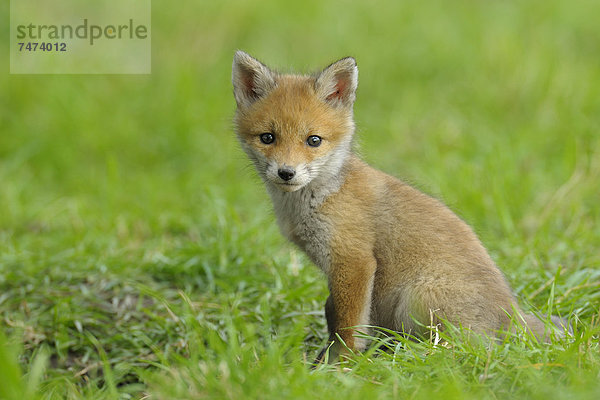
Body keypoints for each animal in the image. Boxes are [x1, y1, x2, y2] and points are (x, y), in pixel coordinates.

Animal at [231, 50, 568, 362]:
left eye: (313, 140)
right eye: (267, 137)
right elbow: (332, 313)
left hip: (417, 298)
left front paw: (341, 365)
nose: (286, 173)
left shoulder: (354, 261)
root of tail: (512, 314)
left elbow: (347, 325)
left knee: (468, 348)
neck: (320, 198)